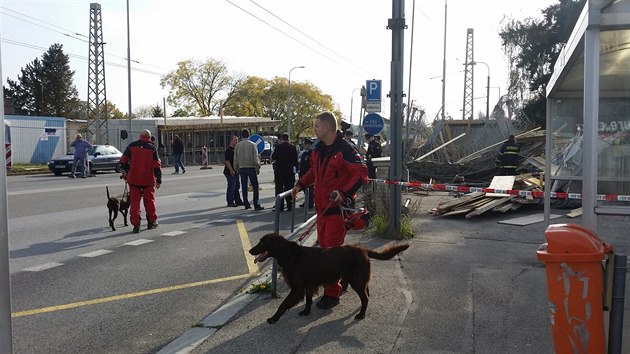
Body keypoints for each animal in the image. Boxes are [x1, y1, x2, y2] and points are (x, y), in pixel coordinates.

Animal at [249, 232, 412, 324]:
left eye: (263, 242)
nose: (250, 251)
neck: (289, 253)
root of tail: (364, 250)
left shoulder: (297, 288)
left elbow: (283, 304)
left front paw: (273, 318)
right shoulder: (308, 285)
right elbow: (308, 301)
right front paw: (306, 312)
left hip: (356, 281)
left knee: (365, 298)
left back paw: (361, 315)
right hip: (358, 280)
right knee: (367, 292)